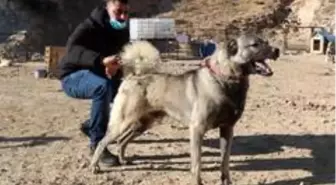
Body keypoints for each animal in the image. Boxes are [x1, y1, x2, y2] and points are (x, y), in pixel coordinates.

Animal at [88, 34, 280, 184]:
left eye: (266, 41)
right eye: (255, 44)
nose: (277, 50)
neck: (225, 79)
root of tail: (132, 76)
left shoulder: (227, 130)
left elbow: (225, 163)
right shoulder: (197, 130)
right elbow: (197, 164)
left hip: (142, 123)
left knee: (122, 141)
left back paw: (122, 159)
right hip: (123, 121)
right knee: (103, 142)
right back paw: (94, 166)